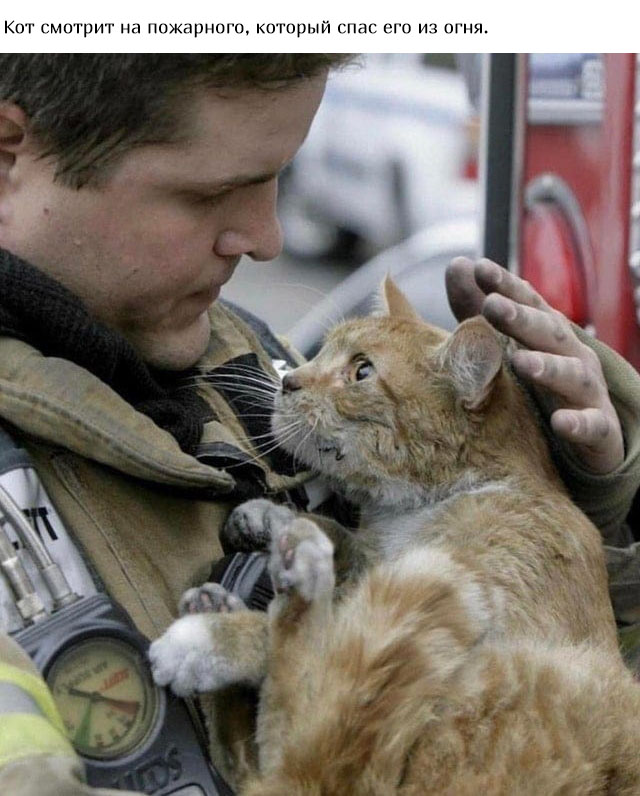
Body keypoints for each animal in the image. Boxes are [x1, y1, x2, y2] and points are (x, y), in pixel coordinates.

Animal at [149, 276, 640, 792]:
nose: (288, 380)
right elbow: (337, 535)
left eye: (361, 371)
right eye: (324, 351)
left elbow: (329, 644)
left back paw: (211, 628)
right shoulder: (376, 554)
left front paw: (221, 637)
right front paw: (269, 519)